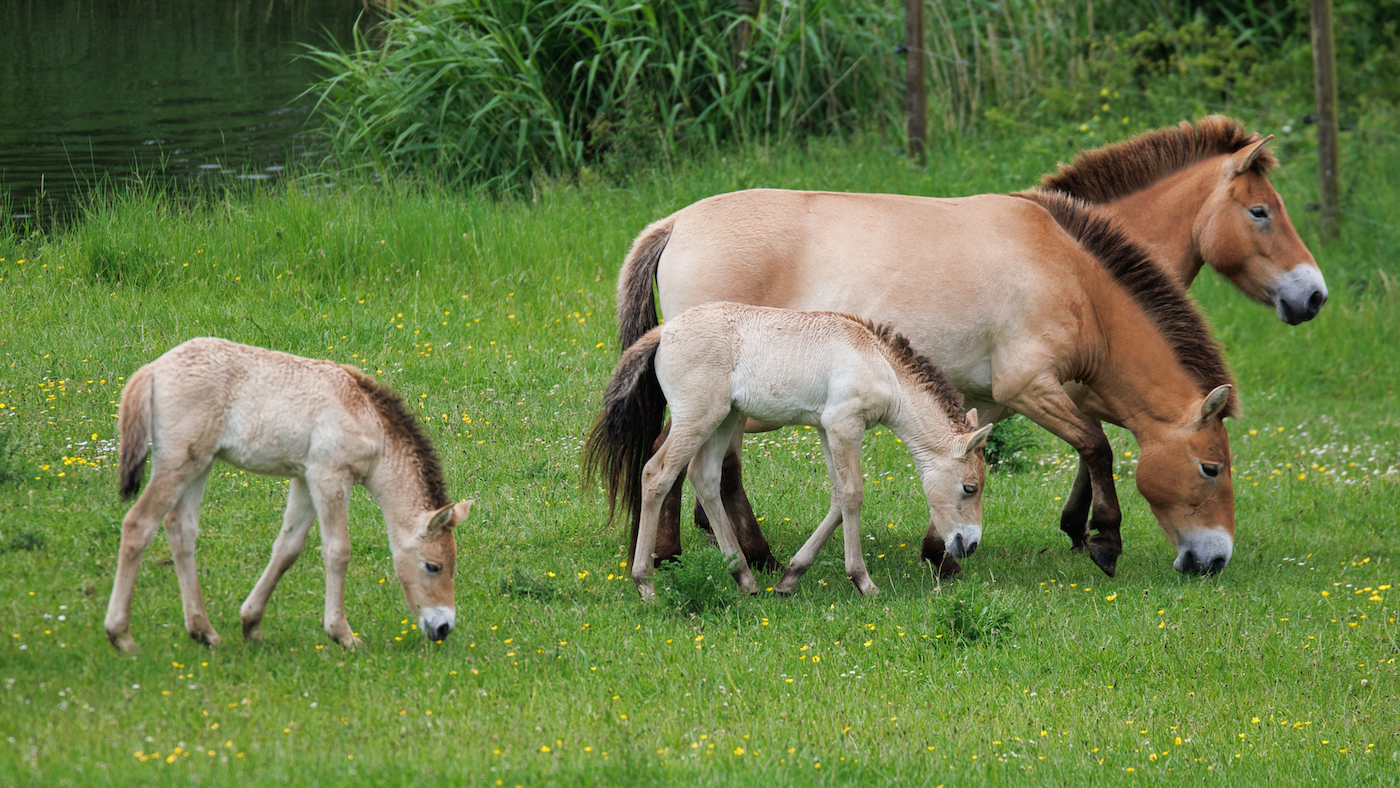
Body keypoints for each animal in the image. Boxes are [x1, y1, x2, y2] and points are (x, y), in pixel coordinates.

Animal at [104, 338, 473, 653]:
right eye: (433, 566)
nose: (444, 627)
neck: (368, 419)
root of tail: (152, 369)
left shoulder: (304, 479)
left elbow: (288, 548)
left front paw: (251, 625)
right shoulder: (329, 476)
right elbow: (338, 551)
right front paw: (343, 635)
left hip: (200, 462)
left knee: (181, 529)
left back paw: (204, 632)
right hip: (176, 462)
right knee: (139, 524)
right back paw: (121, 635)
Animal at [583, 303, 994, 599]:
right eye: (969, 487)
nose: (971, 544)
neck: (880, 366)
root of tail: (665, 331)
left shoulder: (827, 428)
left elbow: (837, 497)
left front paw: (790, 578)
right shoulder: (845, 425)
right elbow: (853, 495)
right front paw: (863, 582)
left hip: (726, 417)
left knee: (705, 477)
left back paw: (745, 578)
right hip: (698, 417)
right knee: (657, 474)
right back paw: (645, 583)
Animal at [617, 185, 1240, 579]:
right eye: (1210, 468)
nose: (1216, 561)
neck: (1067, 277)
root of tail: (676, 223)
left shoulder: (984, 402)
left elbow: (955, 460)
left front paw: (940, 550)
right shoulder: (1030, 388)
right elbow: (1097, 446)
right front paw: (1104, 541)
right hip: (718, 406)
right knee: (680, 460)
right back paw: (698, 556)